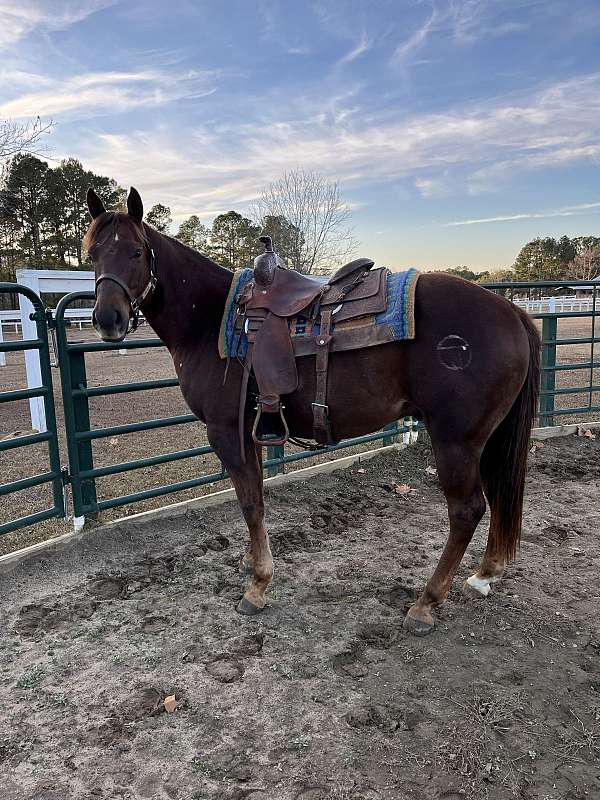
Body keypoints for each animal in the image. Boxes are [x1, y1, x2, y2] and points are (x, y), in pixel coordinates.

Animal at [85, 186, 540, 636]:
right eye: (92, 253)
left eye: (136, 252)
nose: (108, 319)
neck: (210, 321)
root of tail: (513, 312)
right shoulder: (248, 431)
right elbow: (254, 497)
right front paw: (251, 562)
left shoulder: (226, 432)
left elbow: (251, 503)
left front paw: (258, 585)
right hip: (485, 438)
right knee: (496, 494)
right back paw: (484, 574)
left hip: (455, 440)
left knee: (467, 510)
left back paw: (425, 603)